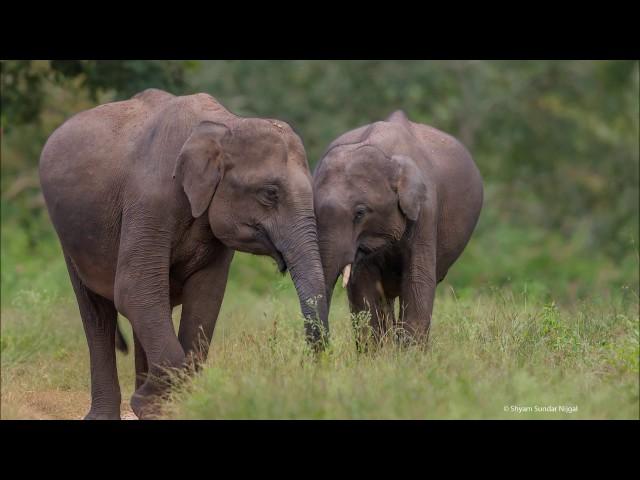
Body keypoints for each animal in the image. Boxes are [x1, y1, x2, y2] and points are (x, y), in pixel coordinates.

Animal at [39, 88, 328, 418]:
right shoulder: (151, 198)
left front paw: (169, 402)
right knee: (98, 312)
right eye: (270, 193)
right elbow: (134, 288)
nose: (310, 367)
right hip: (69, 235)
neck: (227, 125)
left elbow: (205, 297)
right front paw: (150, 402)